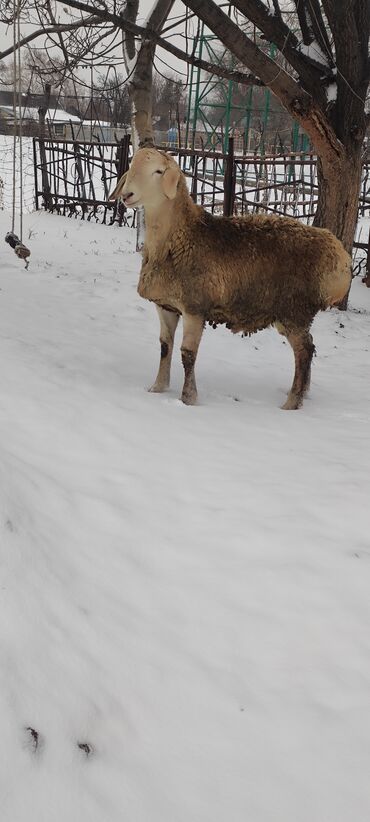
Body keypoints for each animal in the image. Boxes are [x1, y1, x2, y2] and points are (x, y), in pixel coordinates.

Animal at [109, 149, 350, 412]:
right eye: (132, 165)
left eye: (159, 171)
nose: (127, 195)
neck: (180, 237)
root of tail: (339, 256)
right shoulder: (166, 306)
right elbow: (165, 346)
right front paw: (157, 388)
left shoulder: (195, 307)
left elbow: (188, 354)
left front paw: (188, 398)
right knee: (308, 347)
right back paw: (301, 394)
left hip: (295, 309)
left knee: (305, 351)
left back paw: (292, 402)